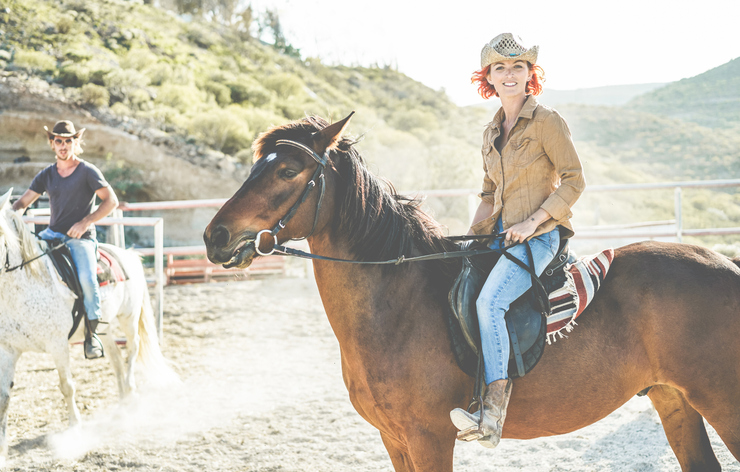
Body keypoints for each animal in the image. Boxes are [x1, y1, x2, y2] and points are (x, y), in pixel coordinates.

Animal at [0, 187, 173, 460]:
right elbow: (4, 398)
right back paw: (122, 403)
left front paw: (75, 429)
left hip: (129, 318)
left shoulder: (58, 346)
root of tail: (128, 254)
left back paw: (131, 393)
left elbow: (66, 386)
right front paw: (1, 449)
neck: (24, 285)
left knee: (132, 351)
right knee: (115, 358)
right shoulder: (8, 349)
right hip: (105, 327)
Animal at [204, 113, 740, 472]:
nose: (215, 235)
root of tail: (725, 264)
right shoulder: (394, 439)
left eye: (287, 171)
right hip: (674, 399)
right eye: (256, 166)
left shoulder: (428, 437)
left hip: (722, 400)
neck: (397, 305)